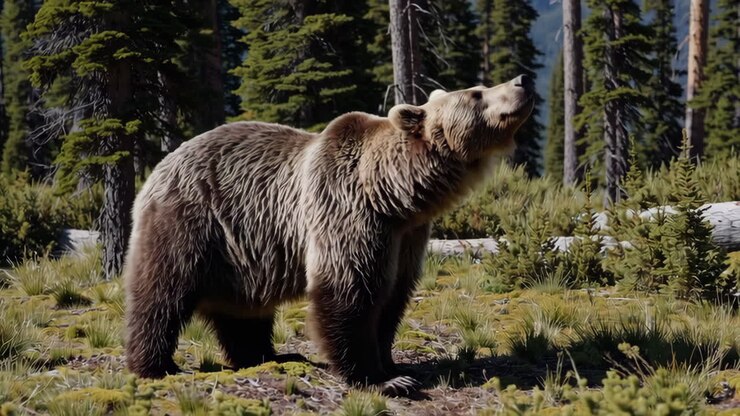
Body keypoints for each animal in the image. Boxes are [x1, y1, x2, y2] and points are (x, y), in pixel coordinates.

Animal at [123, 74, 534, 395]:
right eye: (476, 93)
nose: (522, 81)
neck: (391, 192)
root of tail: (158, 168)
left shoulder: (407, 236)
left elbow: (393, 297)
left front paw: (392, 364)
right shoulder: (347, 211)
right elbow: (348, 290)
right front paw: (379, 379)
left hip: (241, 251)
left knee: (242, 310)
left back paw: (269, 355)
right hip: (193, 223)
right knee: (163, 291)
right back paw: (155, 365)